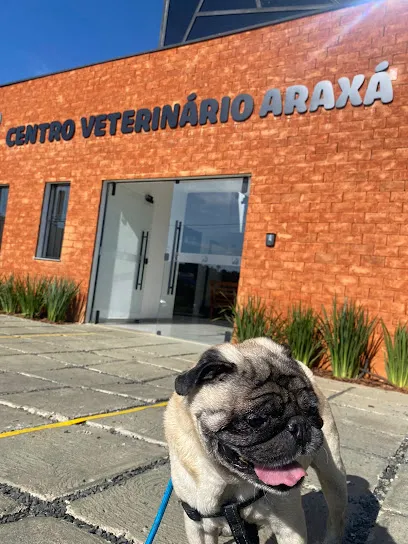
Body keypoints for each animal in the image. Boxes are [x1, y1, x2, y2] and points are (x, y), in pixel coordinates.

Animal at [163, 338, 348, 540]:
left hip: (334, 478)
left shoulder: (290, 527)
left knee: (337, 515)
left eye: (313, 410)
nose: (300, 425)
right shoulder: (199, 529)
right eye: (256, 420)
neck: (231, 484)